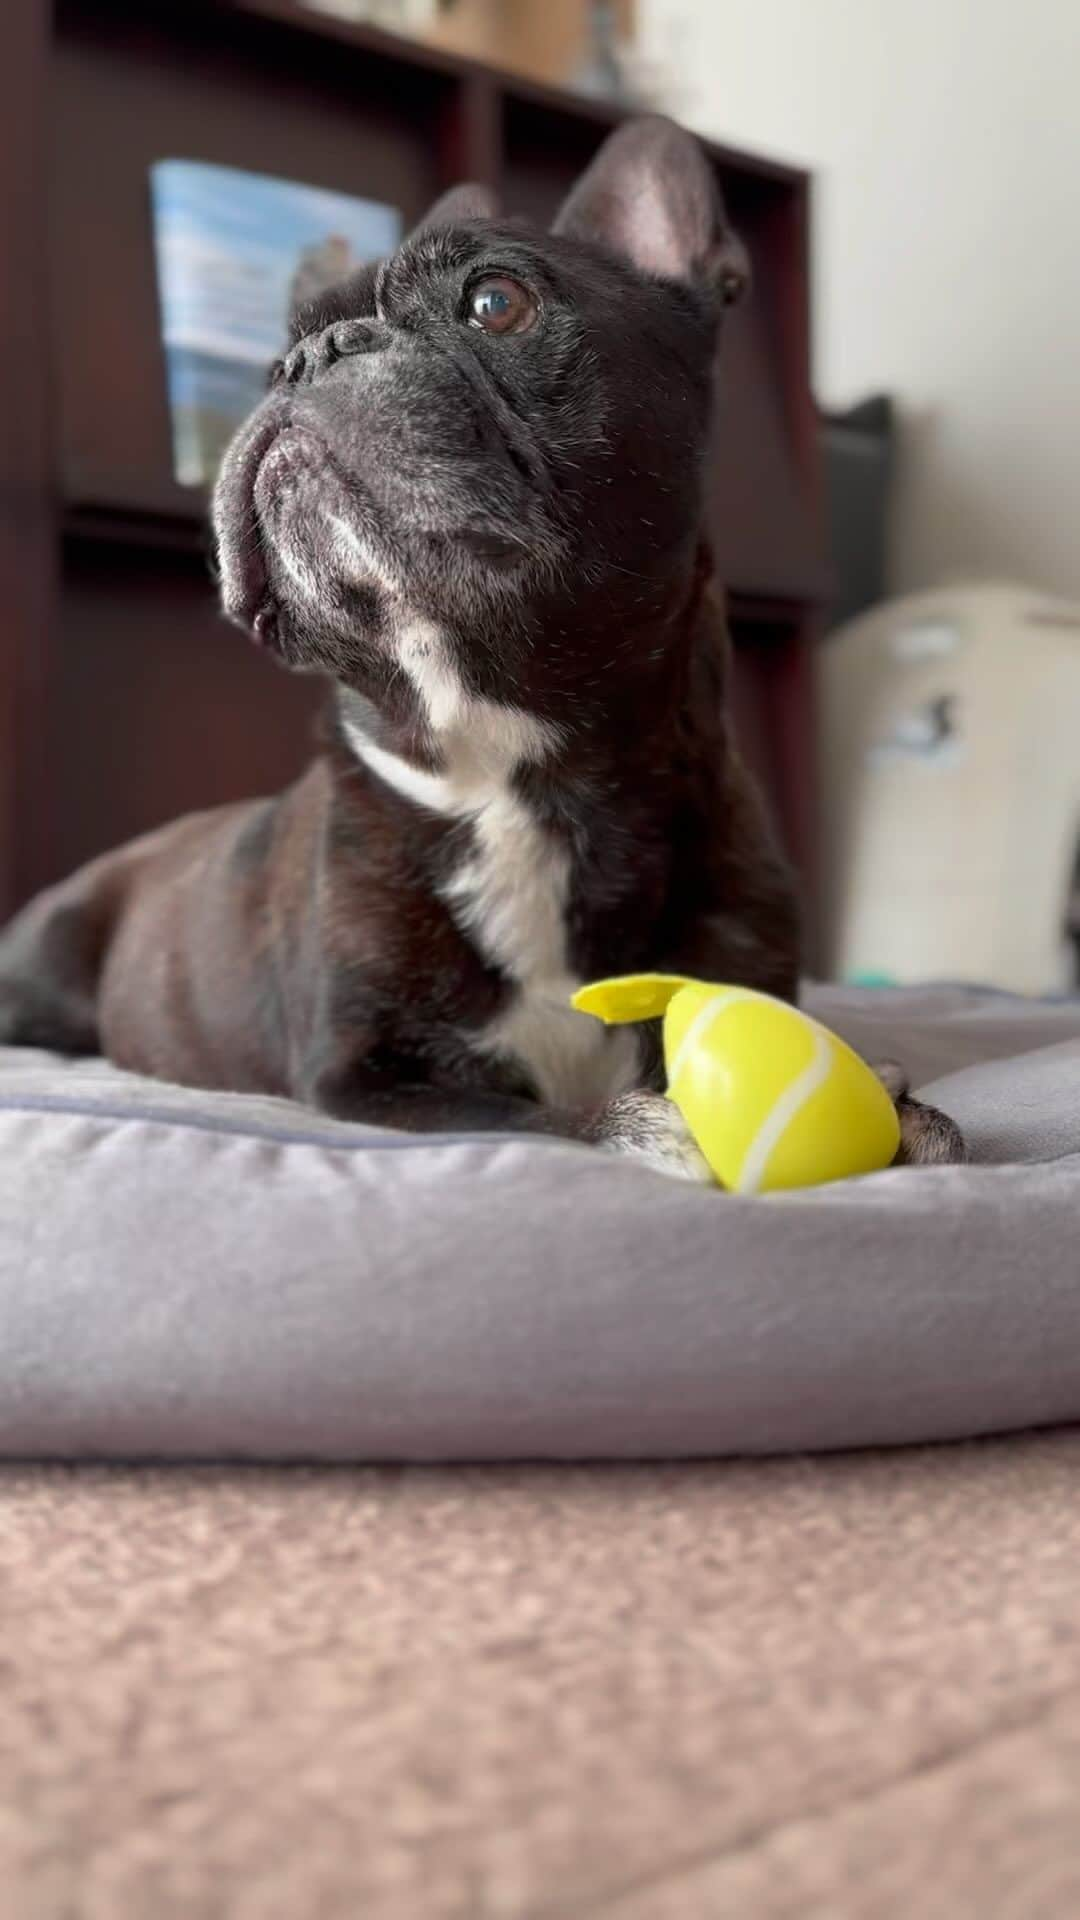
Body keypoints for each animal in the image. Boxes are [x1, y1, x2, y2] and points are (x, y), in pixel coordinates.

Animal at [0, 120, 957, 1175]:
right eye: (270, 361)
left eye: (496, 302)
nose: (310, 357)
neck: (517, 774)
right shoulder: (369, 1076)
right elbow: (531, 1116)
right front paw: (648, 1124)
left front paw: (900, 1108)